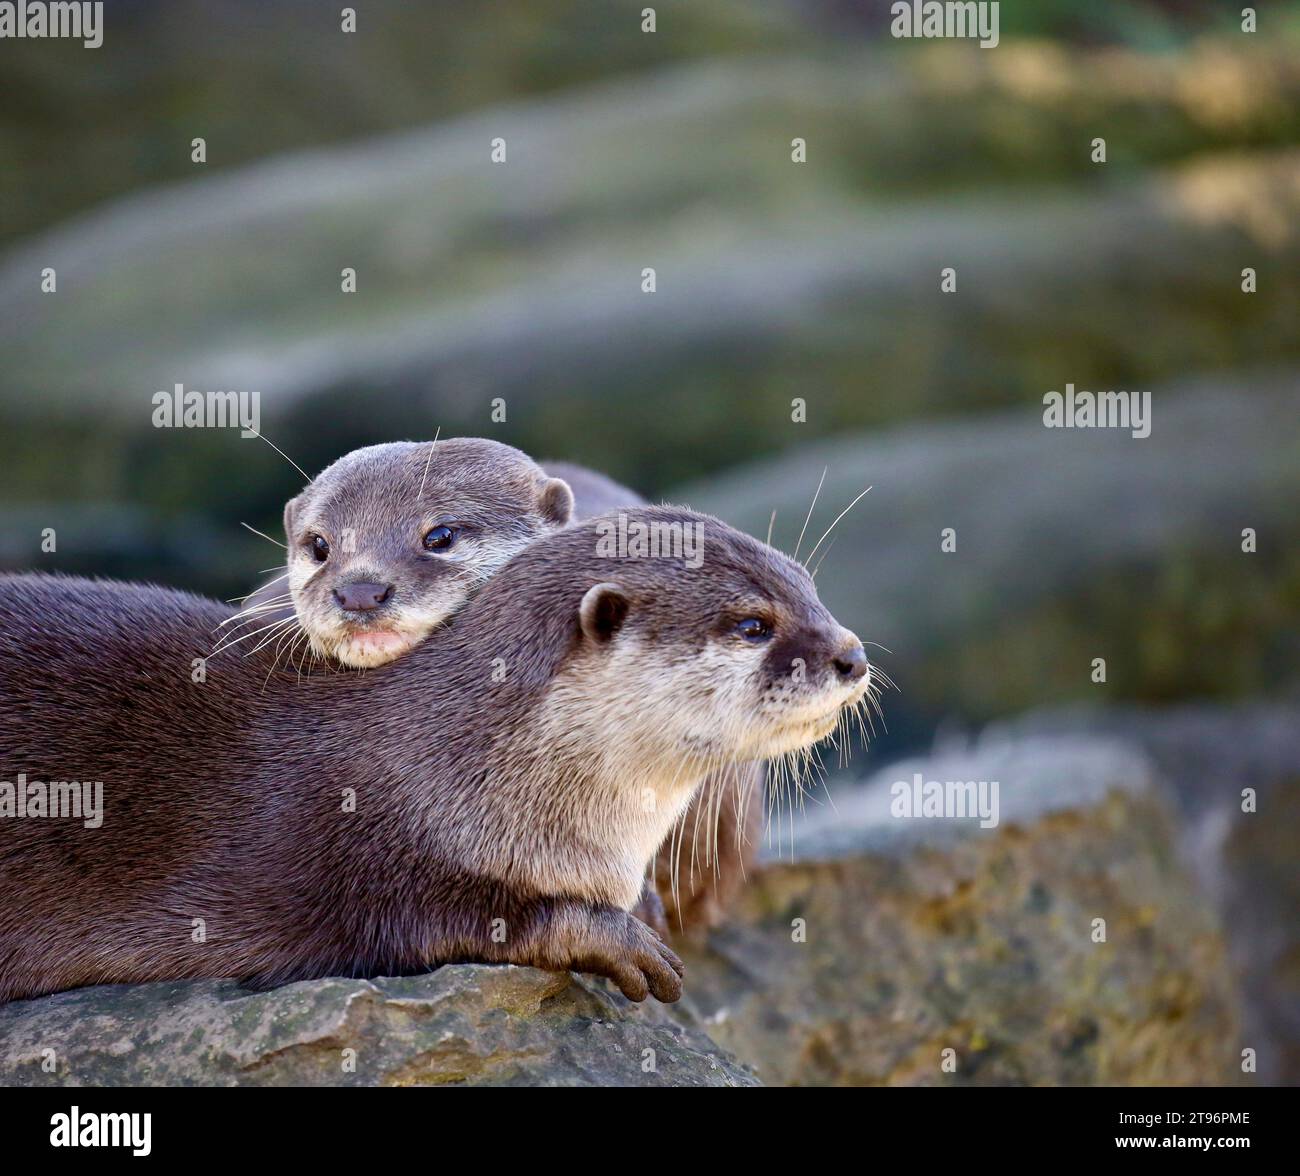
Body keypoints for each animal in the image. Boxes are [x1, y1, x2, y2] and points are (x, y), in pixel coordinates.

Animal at [2, 504, 873, 997]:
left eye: (809, 588)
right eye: (753, 623)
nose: (852, 654)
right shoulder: (357, 857)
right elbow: (436, 922)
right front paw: (611, 935)